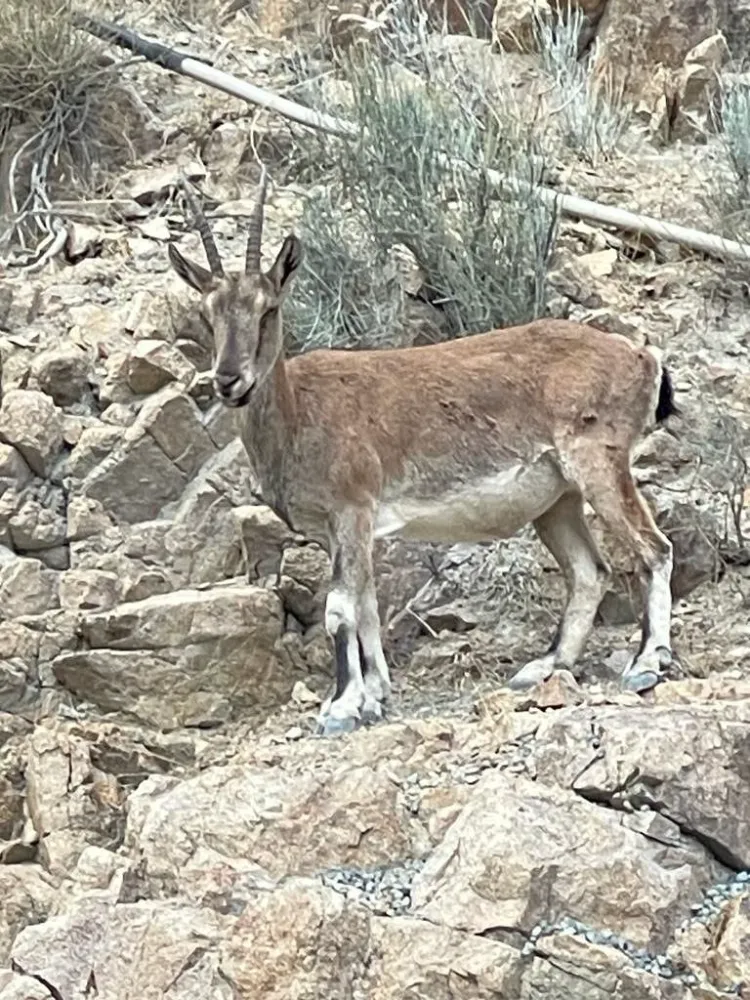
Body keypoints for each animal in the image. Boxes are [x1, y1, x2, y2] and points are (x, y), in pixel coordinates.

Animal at [169, 174, 680, 736]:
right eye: (206, 314)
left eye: (268, 308)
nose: (229, 380)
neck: (298, 412)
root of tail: (640, 357)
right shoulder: (342, 531)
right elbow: (367, 606)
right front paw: (374, 697)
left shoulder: (352, 509)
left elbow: (340, 608)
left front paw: (342, 707)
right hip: (556, 499)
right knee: (590, 571)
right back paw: (547, 666)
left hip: (598, 465)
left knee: (653, 549)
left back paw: (647, 662)